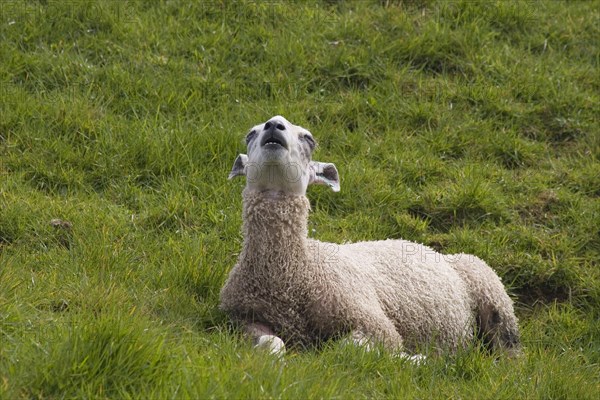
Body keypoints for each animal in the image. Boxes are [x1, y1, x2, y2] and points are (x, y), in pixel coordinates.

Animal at [219, 115, 520, 360]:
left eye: (309, 139)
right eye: (250, 134)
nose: (274, 126)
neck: (294, 270)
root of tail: (429, 249)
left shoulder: (374, 323)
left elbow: (348, 348)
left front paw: (414, 359)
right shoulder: (241, 321)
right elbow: (270, 345)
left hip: (491, 291)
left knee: (508, 345)